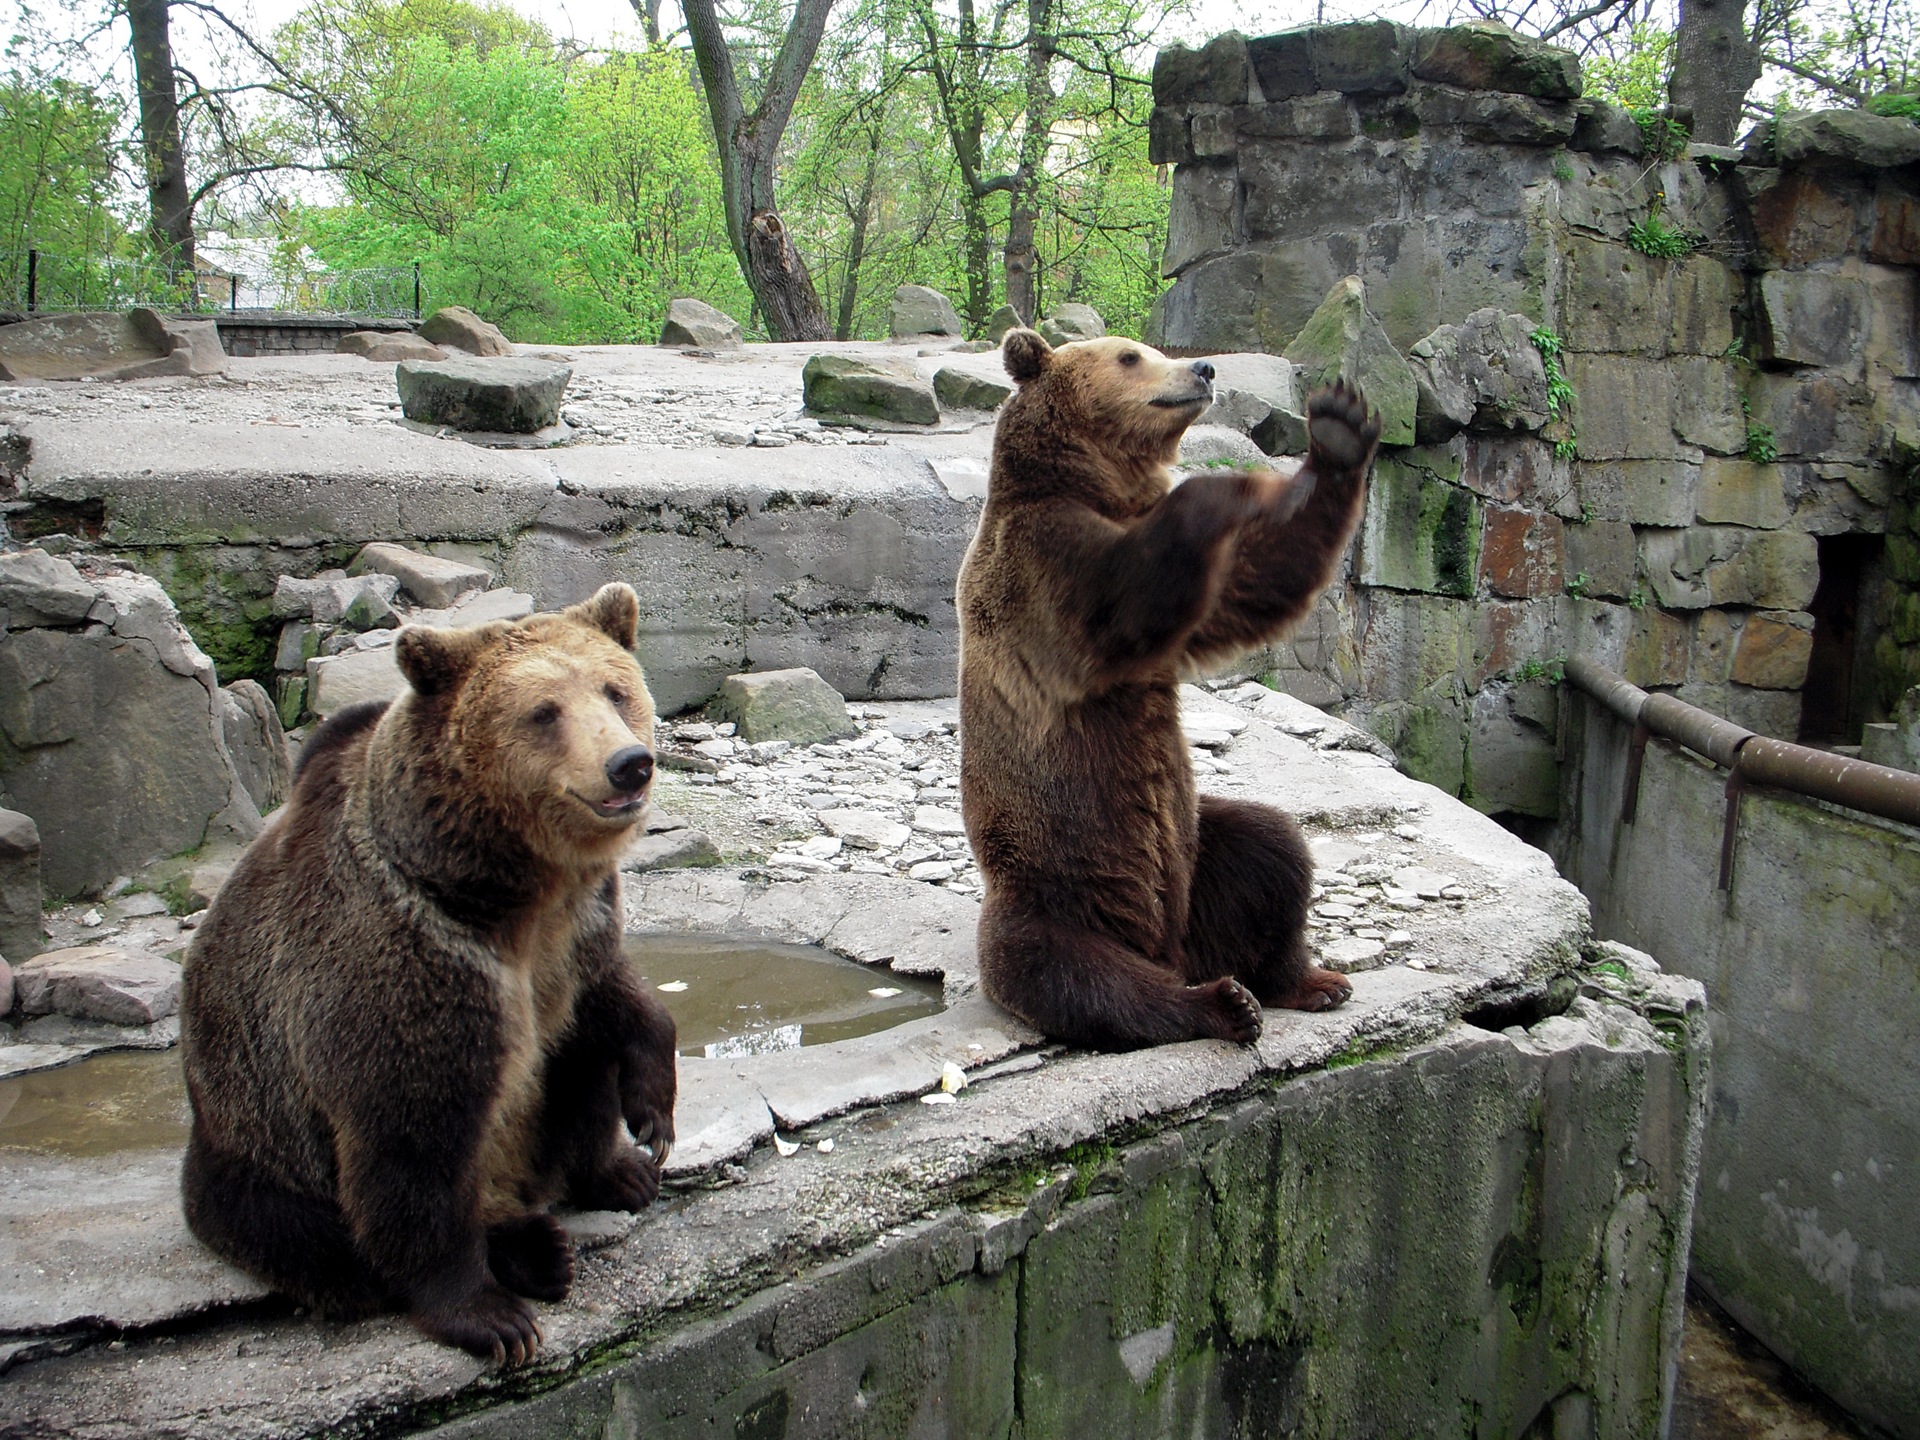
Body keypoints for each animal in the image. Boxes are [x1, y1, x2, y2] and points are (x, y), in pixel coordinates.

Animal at [180, 583, 675, 1367]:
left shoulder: (576, 933)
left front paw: (652, 1118)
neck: (505, 890)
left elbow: (612, 1001)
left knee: (573, 1070)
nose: (629, 764)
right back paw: (535, 1251)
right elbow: (412, 1142)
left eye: (615, 690)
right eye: (544, 711)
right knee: (308, 1233)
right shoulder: (409, 959)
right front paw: (489, 1317)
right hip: (254, 1148)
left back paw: (616, 1173)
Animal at [960, 330, 1382, 1052]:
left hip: (1199, 849)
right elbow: (1123, 596)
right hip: (1050, 885)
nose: (1205, 368)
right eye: (1130, 356)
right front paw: (1231, 485)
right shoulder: (1039, 567)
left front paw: (1339, 429)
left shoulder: (1192, 606)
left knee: (1272, 850)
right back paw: (1223, 1005)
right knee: (1079, 975)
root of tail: (1167, 945)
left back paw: (1310, 980)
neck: (1095, 486)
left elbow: (1255, 582)